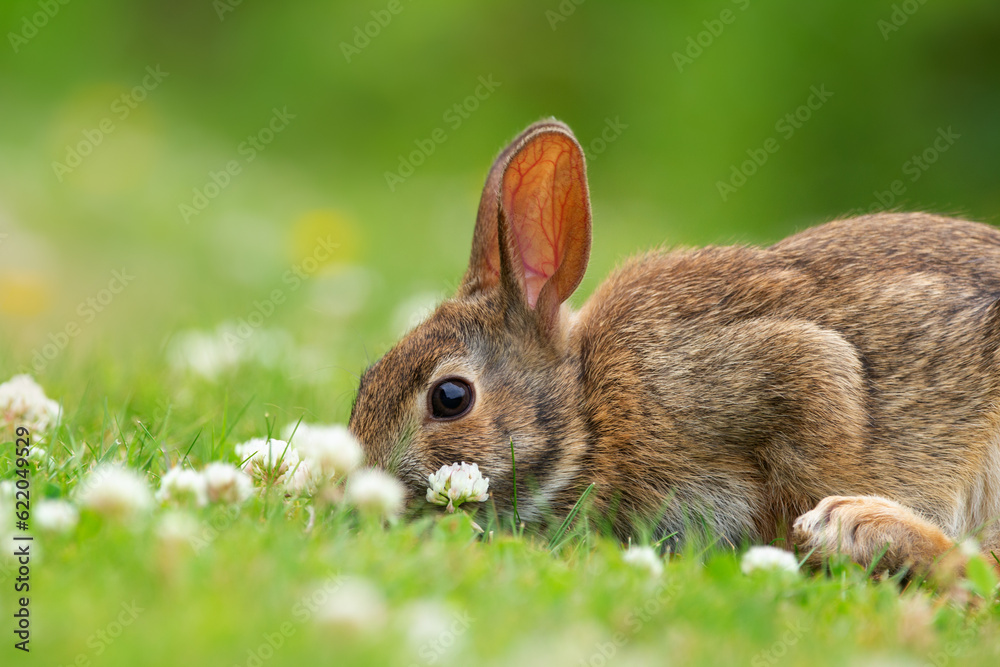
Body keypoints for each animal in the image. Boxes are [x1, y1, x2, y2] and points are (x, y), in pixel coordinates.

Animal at [349, 118, 1000, 574]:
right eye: (365, 377)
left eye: (451, 397)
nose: (364, 493)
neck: (592, 410)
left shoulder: (794, 372)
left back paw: (858, 528)